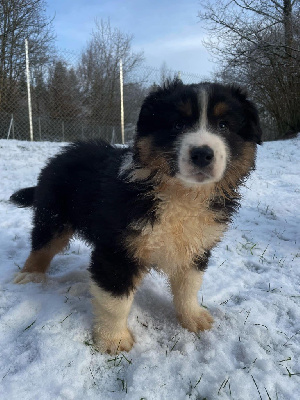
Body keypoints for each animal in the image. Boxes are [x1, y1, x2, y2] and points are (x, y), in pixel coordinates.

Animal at [10, 78, 262, 354]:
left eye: (224, 125)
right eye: (177, 125)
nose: (202, 154)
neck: (181, 194)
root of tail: (62, 153)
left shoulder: (196, 246)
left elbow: (189, 286)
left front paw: (193, 318)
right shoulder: (117, 249)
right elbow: (115, 300)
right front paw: (114, 340)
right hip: (53, 215)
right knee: (42, 246)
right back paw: (30, 276)